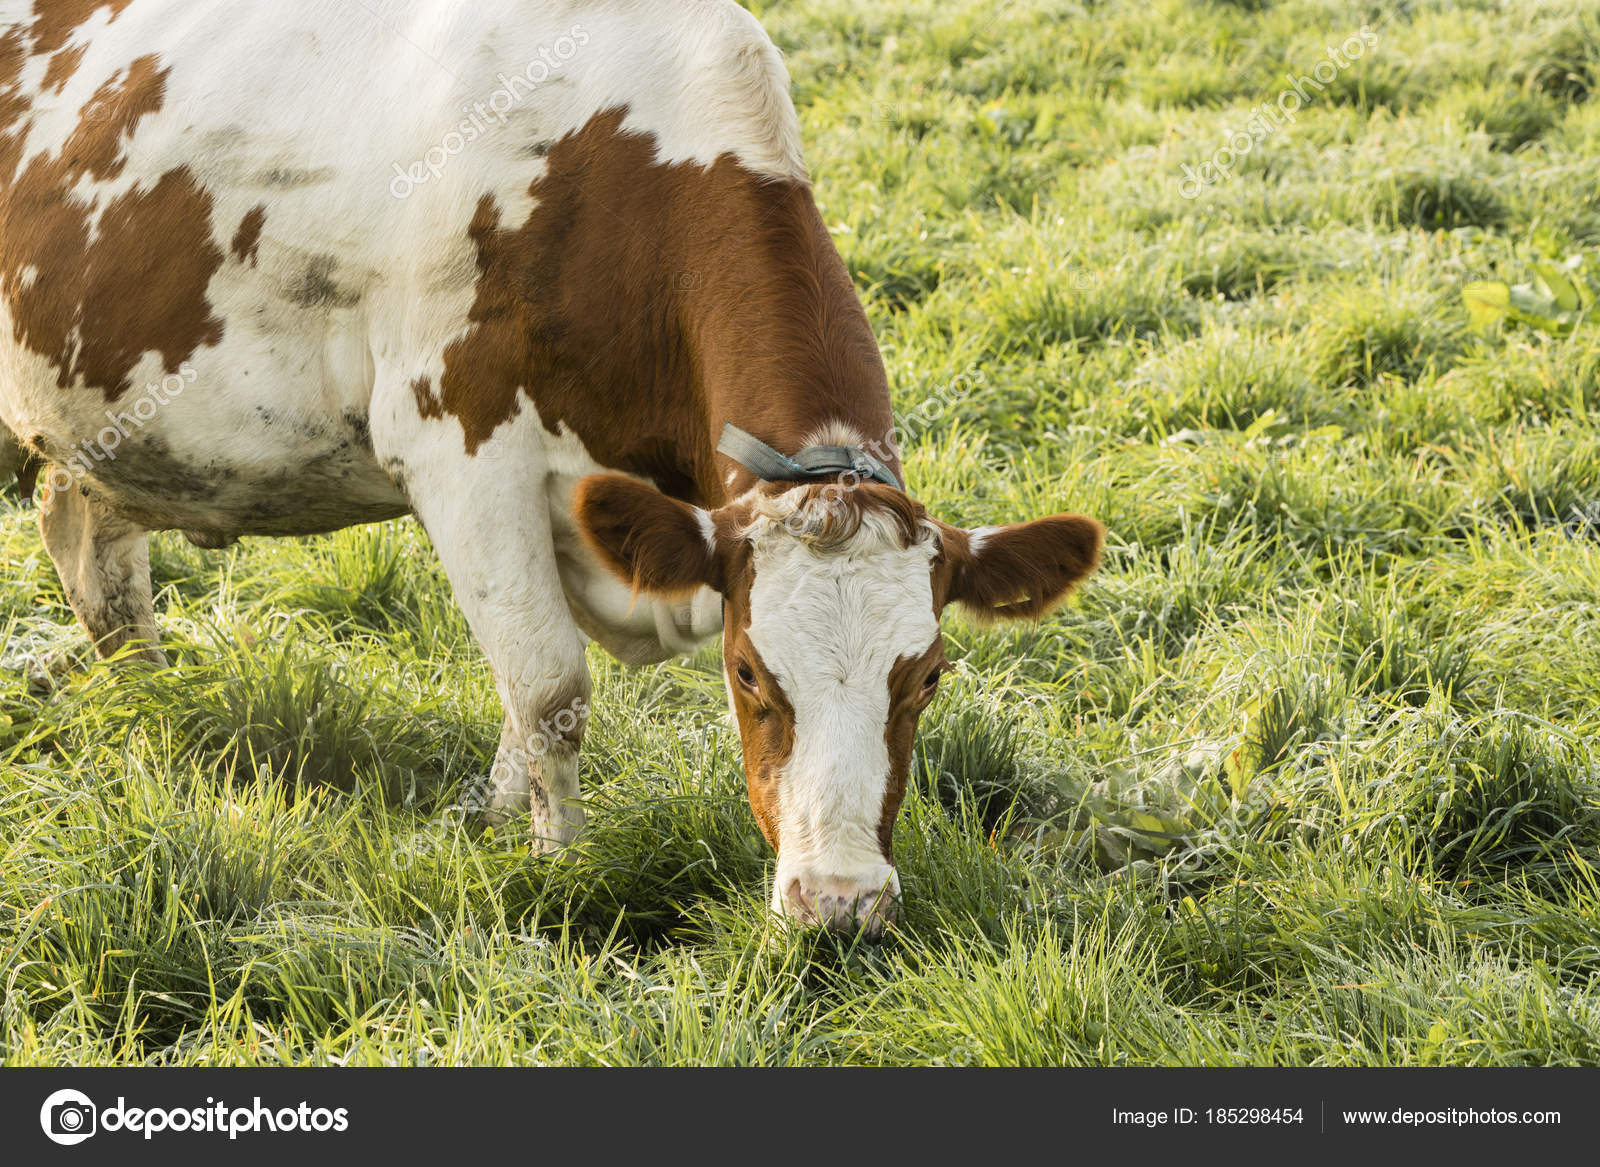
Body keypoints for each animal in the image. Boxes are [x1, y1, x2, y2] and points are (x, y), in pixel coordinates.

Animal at [0, 0, 1102, 937]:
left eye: (928, 675)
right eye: (748, 671)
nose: (839, 901)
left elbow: (517, 702)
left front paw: (493, 824)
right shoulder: (459, 448)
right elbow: (547, 689)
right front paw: (559, 868)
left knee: (90, 548)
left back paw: (152, 713)